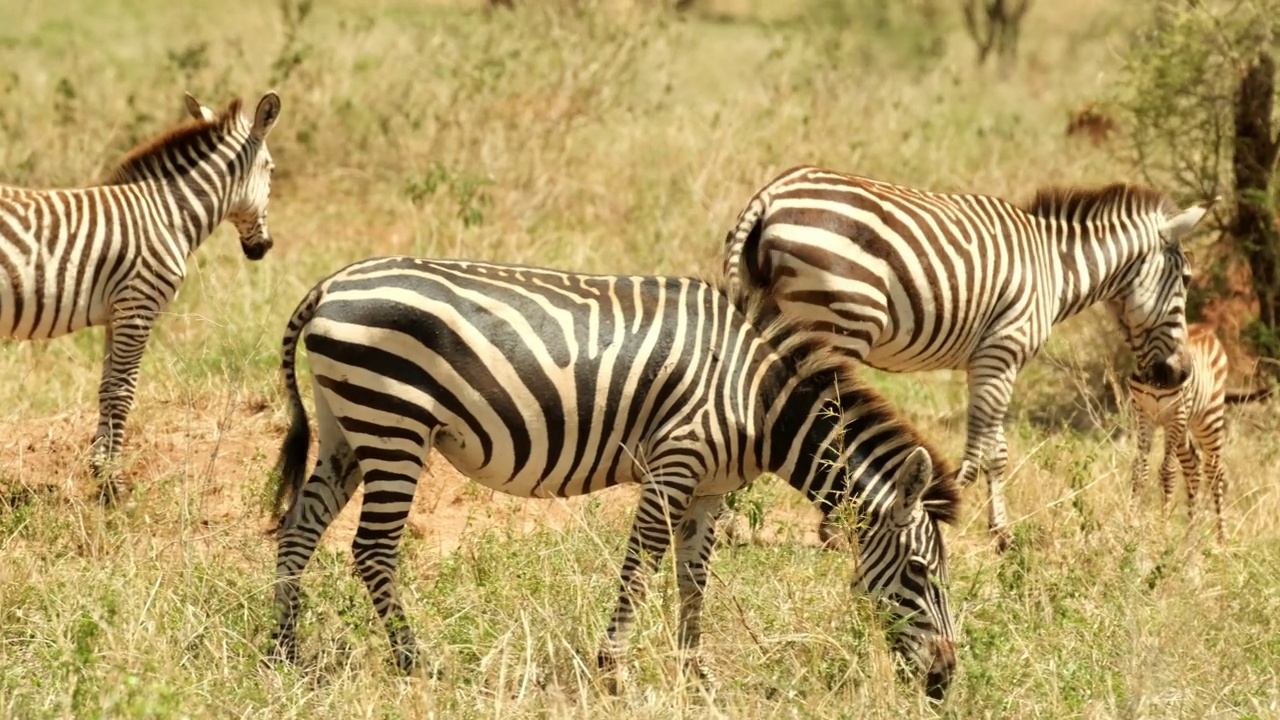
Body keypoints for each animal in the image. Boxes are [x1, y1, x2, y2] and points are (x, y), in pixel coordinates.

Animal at [0, 89, 281, 497]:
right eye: (272, 170)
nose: (263, 248)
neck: (169, 215)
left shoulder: (116, 314)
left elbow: (105, 389)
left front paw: (100, 471)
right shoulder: (138, 306)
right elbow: (123, 391)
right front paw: (112, 486)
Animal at [267, 257, 962, 696]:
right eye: (920, 571)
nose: (944, 679)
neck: (757, 399)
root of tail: (330, 286)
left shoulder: (708, 492)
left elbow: (692, 581)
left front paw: (696, 679)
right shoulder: (674, 465)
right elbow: (640, 569)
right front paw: (612, 675)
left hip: (346, 428)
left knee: (298, 533)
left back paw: (284, 655)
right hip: (393, 424)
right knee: (372, 550)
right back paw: (417, 666)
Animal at [727, 165, 1213, 548]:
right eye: (1187, 279)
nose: (1179, 375)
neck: (1056, 269)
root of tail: (771, 195)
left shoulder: (988, 361)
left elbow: (996, 449)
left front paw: (1002, 533)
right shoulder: (1003, 351)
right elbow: (982, 448)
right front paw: (945, 511)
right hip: (839, 322)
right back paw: (828, 524)